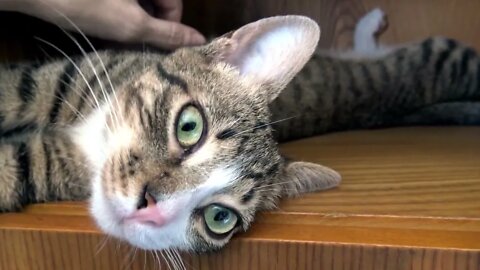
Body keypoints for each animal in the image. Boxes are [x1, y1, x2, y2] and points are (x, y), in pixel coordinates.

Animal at [0, 8, 480, 253]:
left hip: (440, 60)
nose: (148, 207)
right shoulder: (53, 80)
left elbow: (17, 164)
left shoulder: (44, 163)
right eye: (189, 126)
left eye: (219, 217)